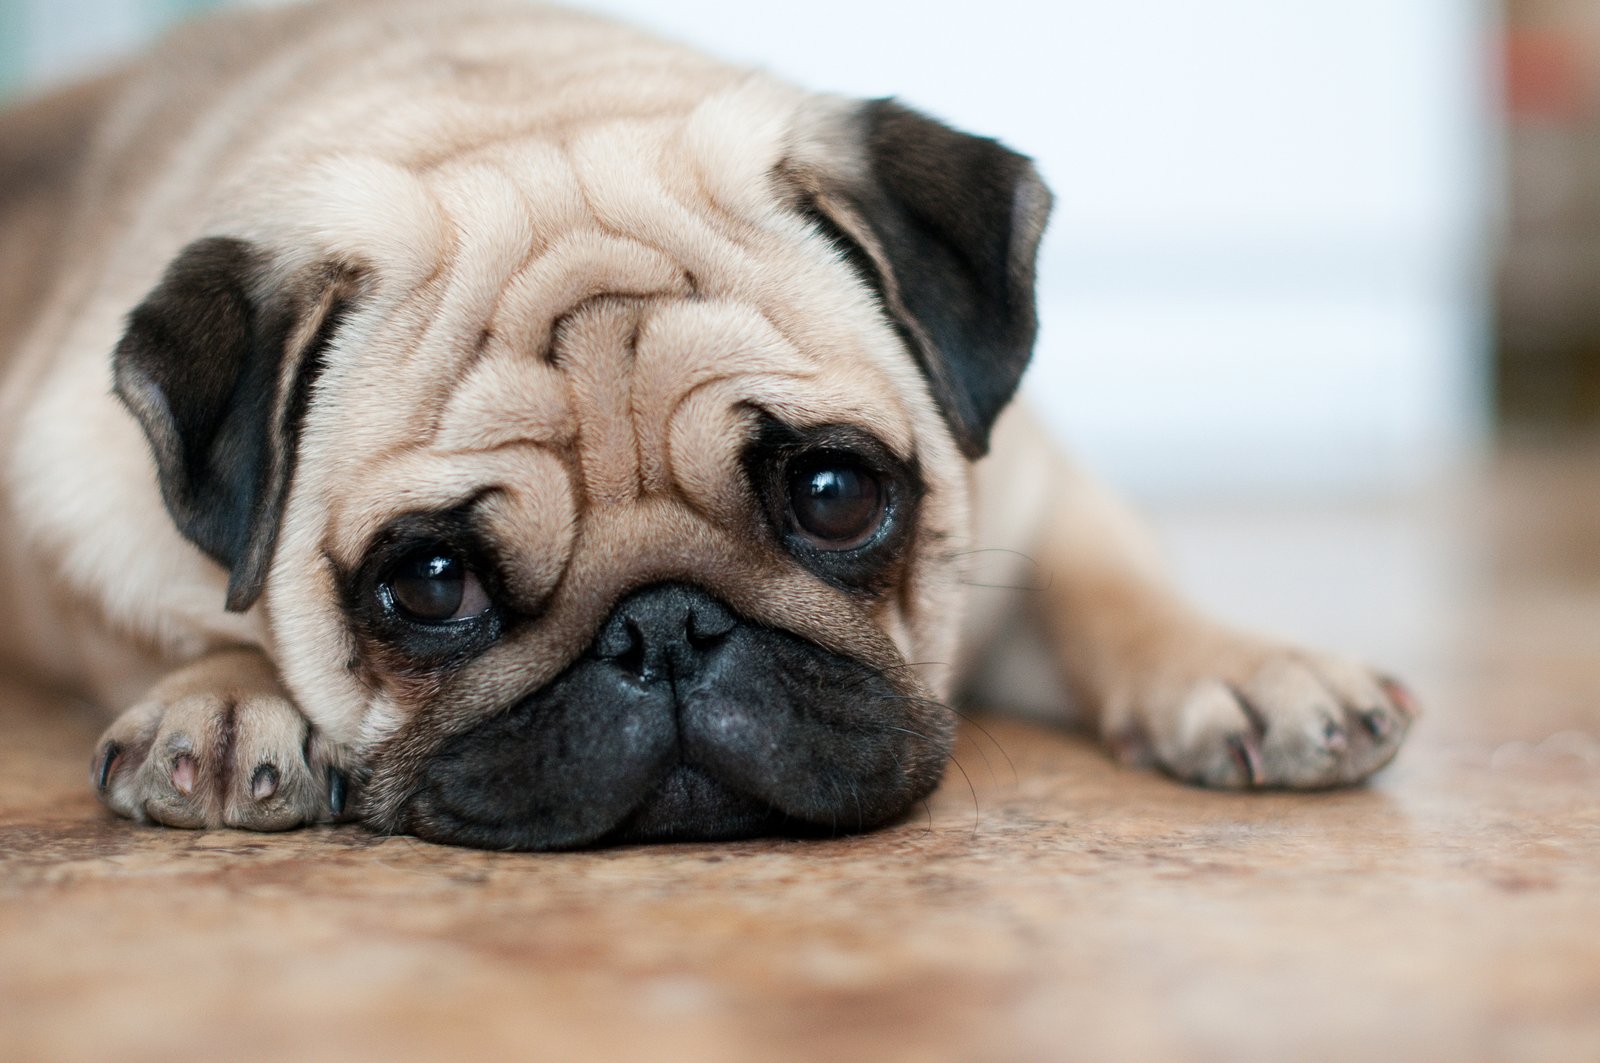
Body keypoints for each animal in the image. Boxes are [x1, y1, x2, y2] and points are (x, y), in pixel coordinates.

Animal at [0, 0, 1414, 845]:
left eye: (835, 495)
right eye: (434, 580)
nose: (663, 627)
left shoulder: (1029, 483)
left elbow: (1105, 584)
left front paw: (1241, 666)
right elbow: (187, 613)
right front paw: (229, 696)